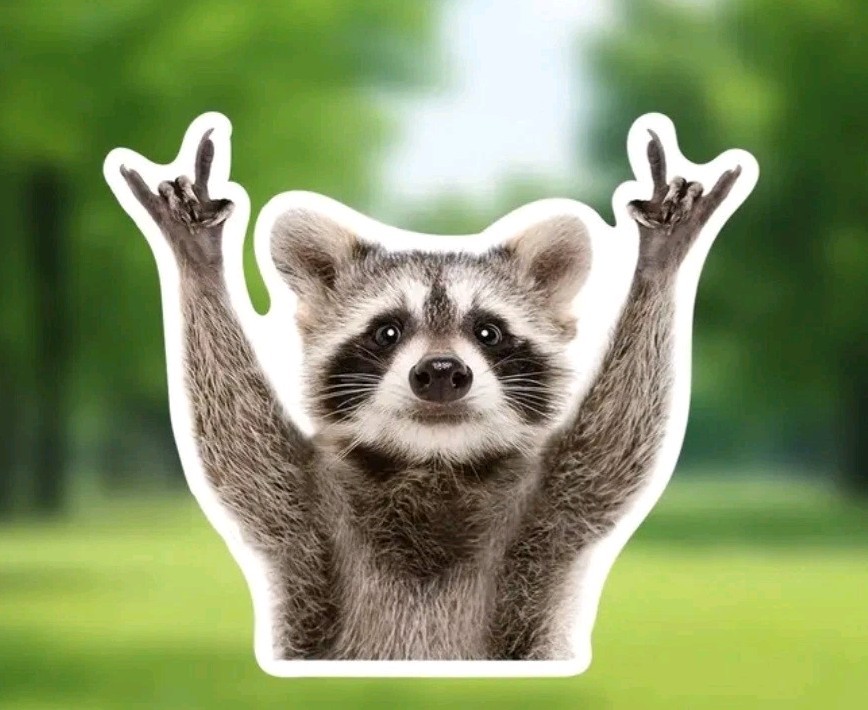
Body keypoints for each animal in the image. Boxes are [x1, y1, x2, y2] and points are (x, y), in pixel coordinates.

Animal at [117, 127, 742, 660]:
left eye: (487, 332)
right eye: (387, 332)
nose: (441, 371)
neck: (434, 462)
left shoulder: (550, 510)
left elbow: (616, 443)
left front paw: (659, 261)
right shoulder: (305, 511)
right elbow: (239, 443)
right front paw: (198, 261)